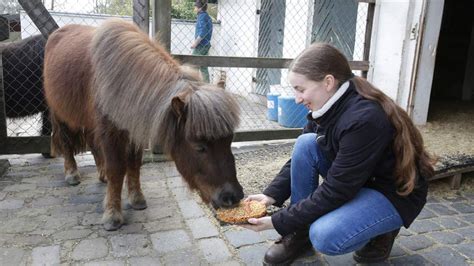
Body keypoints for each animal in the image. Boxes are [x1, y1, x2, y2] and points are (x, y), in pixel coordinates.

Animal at [44, 18, 243, 231]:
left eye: (229, 141)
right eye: (199, 147)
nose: (233, 197)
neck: (120, 81)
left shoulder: (133, 131)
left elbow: (134, 164)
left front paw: (136, 198)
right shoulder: (110, 133)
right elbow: (117, 169)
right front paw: (112, 214)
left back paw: (101, 174)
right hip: (59, 114)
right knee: (66, 142)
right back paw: (72, 173)